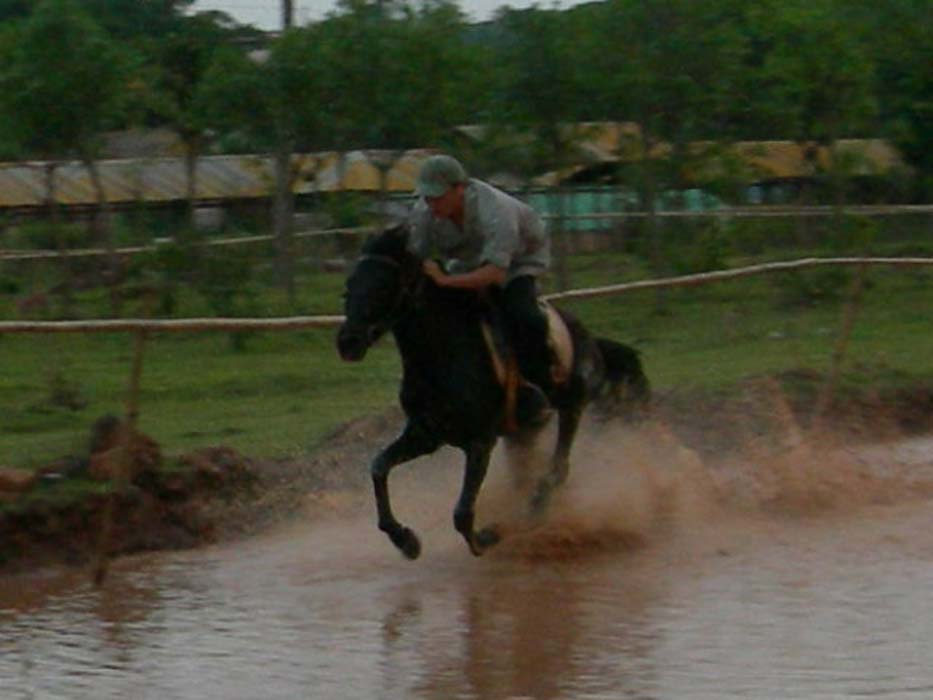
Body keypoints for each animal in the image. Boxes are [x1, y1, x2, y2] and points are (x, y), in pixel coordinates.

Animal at [336, 227, 648, 560]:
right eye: (349, 287)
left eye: (384, 286)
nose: (348, 342)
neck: (443, 358)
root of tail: (588, 337)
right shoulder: (425, 435)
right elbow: (379, 468)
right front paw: (406, 540)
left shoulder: (480, 441)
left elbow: (462, 514)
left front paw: (490, 535)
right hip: (522, 432)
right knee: (529, 473)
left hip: (571, 404)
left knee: (558, 467)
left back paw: (534, 510)